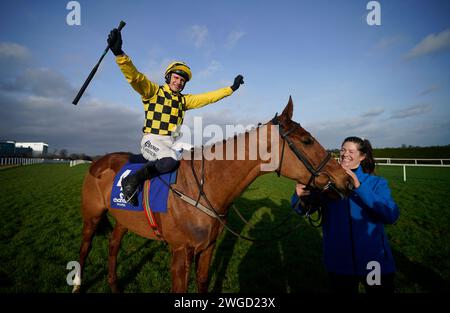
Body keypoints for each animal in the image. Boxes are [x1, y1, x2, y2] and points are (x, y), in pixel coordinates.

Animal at [74, 98, 354, 292]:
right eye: (307, 141)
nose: (347, 180)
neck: (202, 187)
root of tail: (97, 162)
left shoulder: (207, 247)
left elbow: (203, 282)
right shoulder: (180, 253)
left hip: (124, 219)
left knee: (113, 246)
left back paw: (114, 285)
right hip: (91, 215)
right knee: (85, 248)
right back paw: (77, 284)